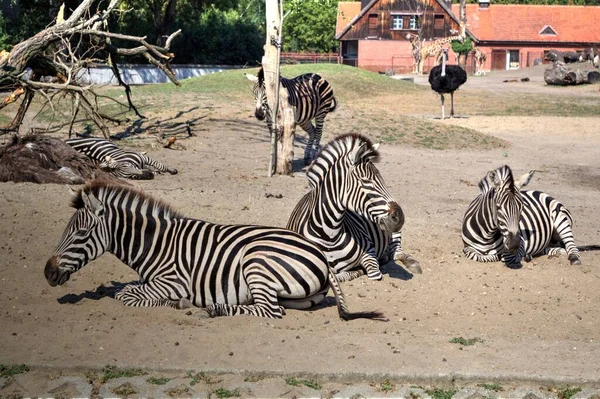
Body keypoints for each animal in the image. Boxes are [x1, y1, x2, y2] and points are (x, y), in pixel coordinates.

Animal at [43, 181, 384, 322]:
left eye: (81, 234)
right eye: (65, 231)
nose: (47, 273)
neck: (156, 244)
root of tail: (320, 254)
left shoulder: (173, 280)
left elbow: (125, 294)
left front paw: (174, 302)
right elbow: (128, 289)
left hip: (256, 262)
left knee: (269, 311)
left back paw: (212, 309)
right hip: (295, 293)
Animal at [286, 134, 422, 284]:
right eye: (366, 181)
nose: (399, 217)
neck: (328, 235)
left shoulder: (369, 251)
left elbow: (372, 273)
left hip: (394, 233)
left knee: (397, 252)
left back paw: (409, 262)